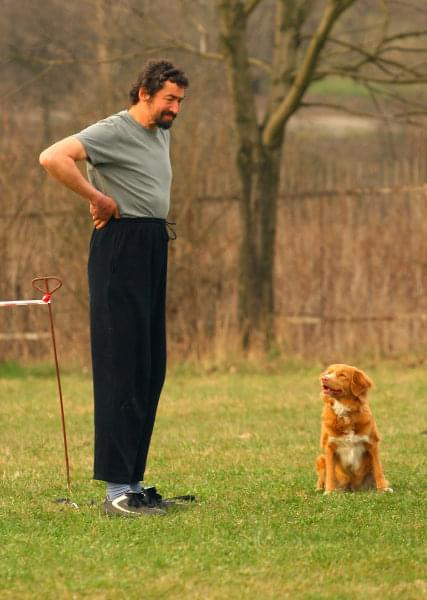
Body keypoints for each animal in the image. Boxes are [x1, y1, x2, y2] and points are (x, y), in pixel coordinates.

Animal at [316, 364, 392, 494]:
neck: (345, 411)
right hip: (320, 459)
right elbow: (330, 473)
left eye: (342, 375)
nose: (324, 378)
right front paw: (329, 491)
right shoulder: (329, 446)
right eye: (328, 372)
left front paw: (383, 488)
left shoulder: (372, 444)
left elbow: (378, 469)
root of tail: (352, 487)